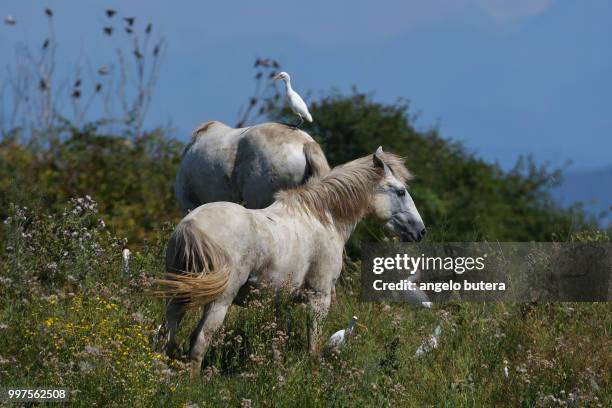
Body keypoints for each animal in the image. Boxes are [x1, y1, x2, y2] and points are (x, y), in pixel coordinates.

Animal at [157, 147, 426, 376]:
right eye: (400, 191)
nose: (420, 231)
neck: (322, 218)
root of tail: (191, 225)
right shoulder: (319, 298)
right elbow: (313, 346)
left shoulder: (281, 301)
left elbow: (279, 344)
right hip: (219, 301)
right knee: (199, 340)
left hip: (178, 297)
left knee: (166, 336)